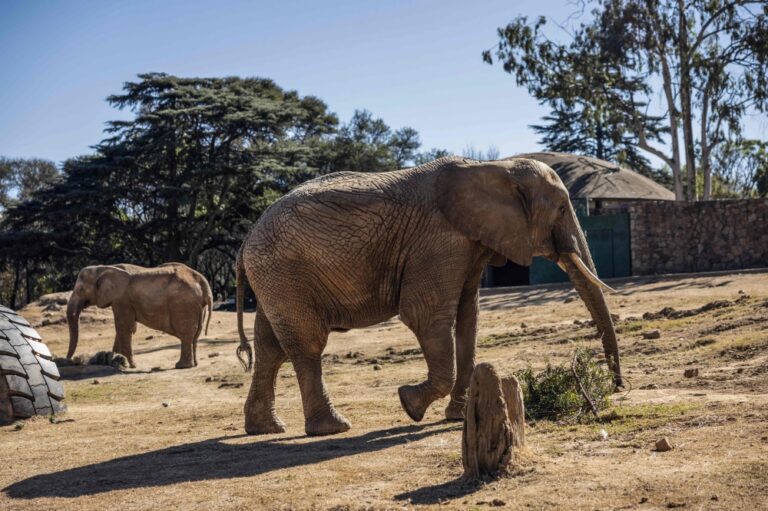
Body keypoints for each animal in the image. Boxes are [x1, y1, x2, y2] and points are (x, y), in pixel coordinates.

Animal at [67, 263, 213, 369]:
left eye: (80, 290)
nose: (70, 361)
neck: (103, 268)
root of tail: (202, 282)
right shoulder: (121, 301)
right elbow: (123, 328)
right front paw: (115, 361)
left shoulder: (121, 300)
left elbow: (123, 327)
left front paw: (130, 365)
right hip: (197, 307)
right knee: (195, 335)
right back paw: (194, 364)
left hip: (183, 304)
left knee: (186, 335)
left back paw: (181, 366)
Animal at [235, 156, 621, 436]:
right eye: (561, 209)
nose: (619, 387)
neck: (495, 165)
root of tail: (245, 240)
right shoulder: (439, 242)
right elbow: (426, 316)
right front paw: (410, 404)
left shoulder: (471, 243)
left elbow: (468, 319)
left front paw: (456, 416)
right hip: (284, 273)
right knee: (306, 344)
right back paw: (332, 428)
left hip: (274, 278)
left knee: (270, 348)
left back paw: (266, 429)